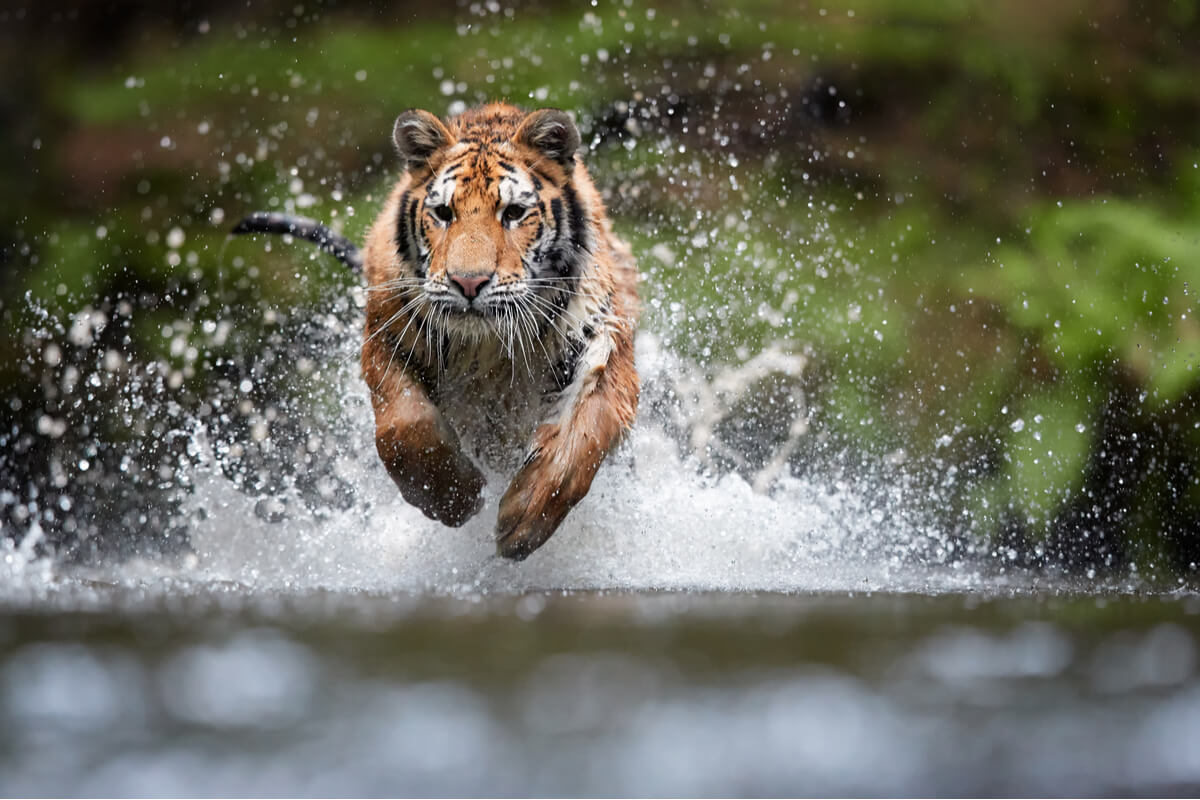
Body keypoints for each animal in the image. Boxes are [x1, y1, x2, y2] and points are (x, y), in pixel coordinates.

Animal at [231, 103, 638, 561]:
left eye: (513, 213)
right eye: (444, 213)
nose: (468, 283)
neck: (487, 348)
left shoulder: (604, 342)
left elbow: (583, 437)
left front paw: (522, 522)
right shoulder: (385, 337)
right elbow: (404, 428)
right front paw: (455, 499)